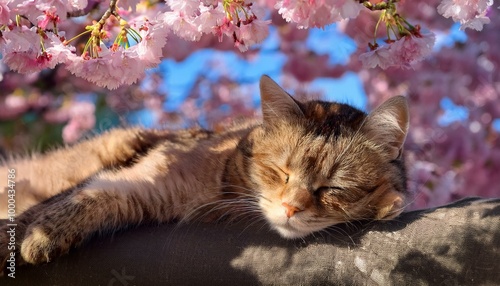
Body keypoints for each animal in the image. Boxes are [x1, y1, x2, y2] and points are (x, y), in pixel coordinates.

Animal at [0, 75, 406, 270]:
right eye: (280, 171)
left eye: (333, 188)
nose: (291, 208)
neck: (225, 188)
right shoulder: (148, 175)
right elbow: (74, 199)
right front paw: (37, 237)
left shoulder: (144, 193)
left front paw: (389, 202)